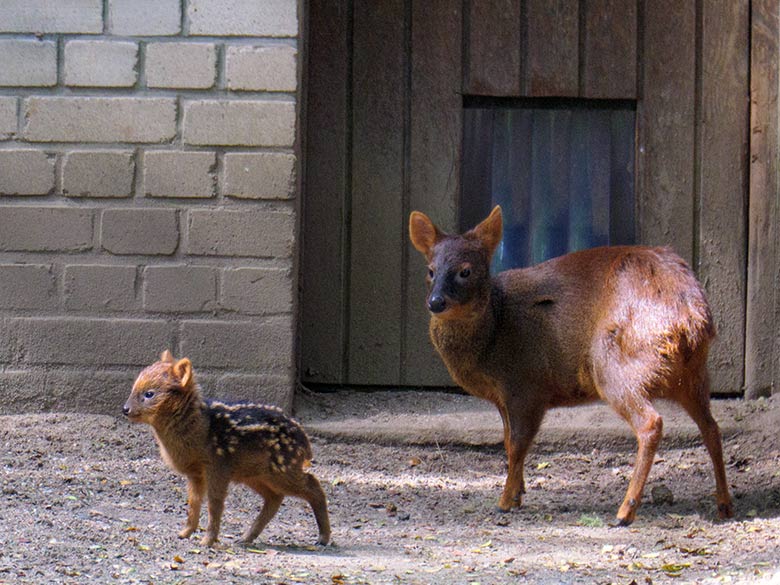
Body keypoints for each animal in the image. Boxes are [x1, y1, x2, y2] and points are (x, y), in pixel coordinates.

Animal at [412, 206, 736, 524]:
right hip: (694, 375)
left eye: (465, 271)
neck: (495, 329)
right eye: (430, 271)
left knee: (652, 423)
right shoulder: (504, 397)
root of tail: (693, 317)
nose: (435, 301)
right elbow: (507, 441)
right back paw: (724, 505)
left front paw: (505, 501)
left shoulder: (526, 385)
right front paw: (518, 493)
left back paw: (625, 511)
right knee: (711, 427)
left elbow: (517, 444)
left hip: (615, 367)